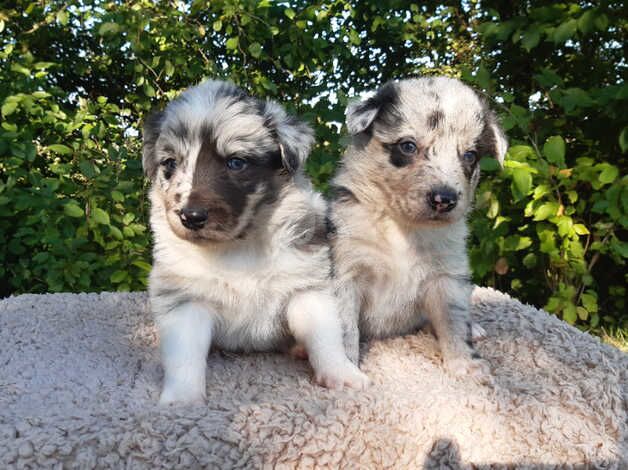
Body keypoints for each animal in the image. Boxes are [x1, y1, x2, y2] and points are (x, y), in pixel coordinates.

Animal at [142, 81, 368, 404]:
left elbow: (325, 337)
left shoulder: (307, 288)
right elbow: (184, 357)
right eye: (170, 164)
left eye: (236, 162)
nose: (191, 216)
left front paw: (342, 375)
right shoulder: (186, 301)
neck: (238, 245)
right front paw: (182, 401)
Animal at [332, 77, 508, 378]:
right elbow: (344, 329)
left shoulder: (447, 277)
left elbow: (454, 322)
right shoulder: (347, 270)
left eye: (470, 155)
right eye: (408, 146)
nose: (444, 199)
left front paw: (466, 364)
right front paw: (345, 372)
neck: (403, 229)